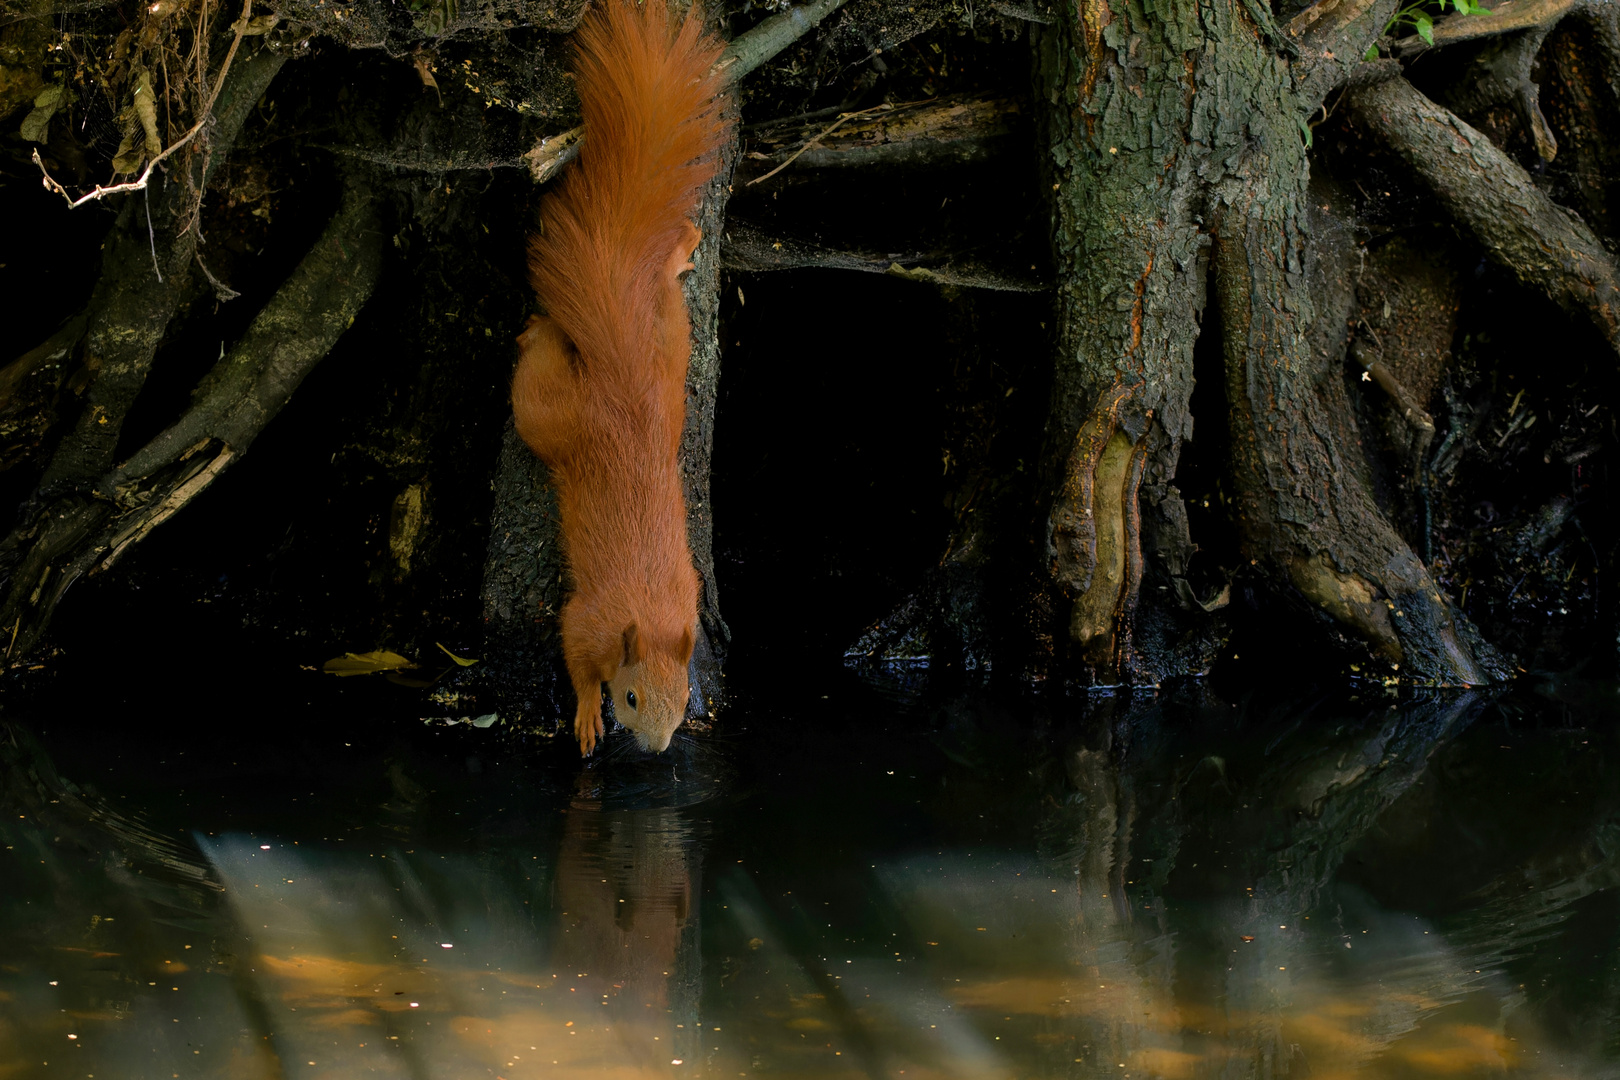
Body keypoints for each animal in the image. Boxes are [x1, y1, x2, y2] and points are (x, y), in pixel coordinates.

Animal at [511, 0, 729, 761]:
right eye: (631, 697)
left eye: (684, 698)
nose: (659, 750)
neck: (652, 613)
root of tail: (624, 378)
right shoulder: (591, 619)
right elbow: (576, 660)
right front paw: (584, 715)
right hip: (555, 415)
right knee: (536, 377)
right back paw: (538, 331)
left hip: (669, 352)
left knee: (661, 287)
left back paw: (680, 249)